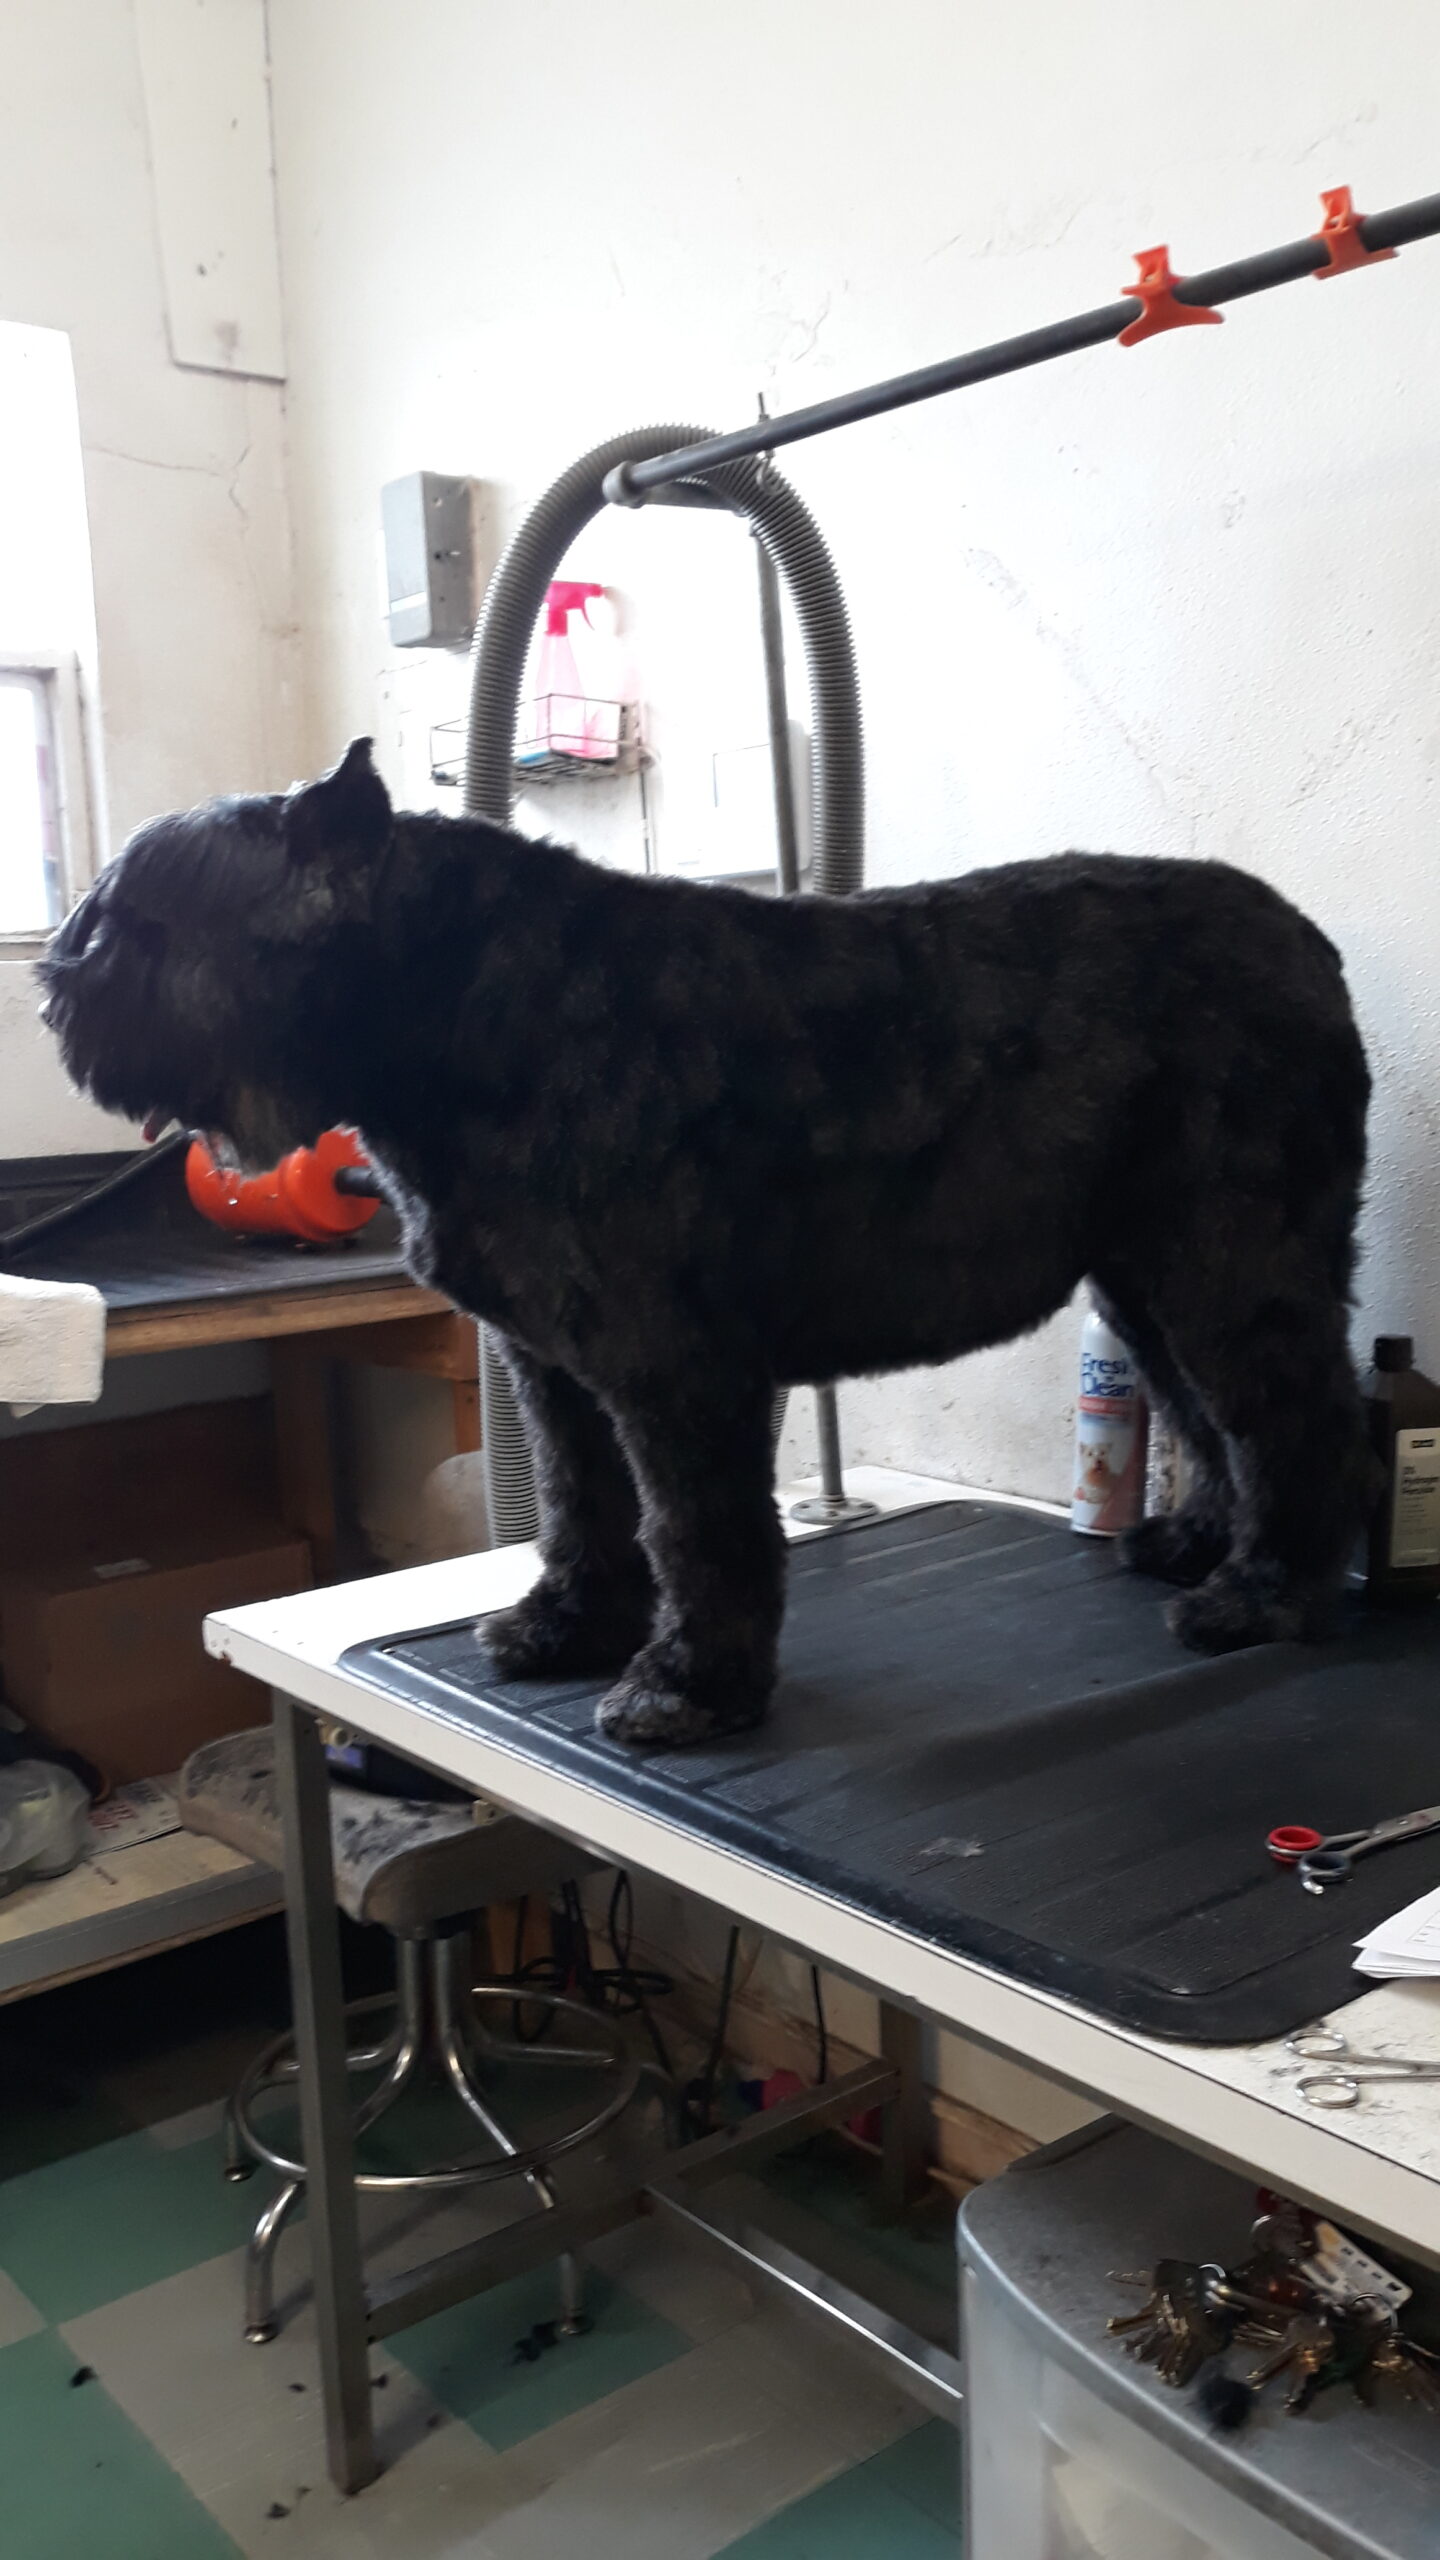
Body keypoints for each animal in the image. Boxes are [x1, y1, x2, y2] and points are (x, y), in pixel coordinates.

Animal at [39, 739, 1375, 1745]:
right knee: (1211, 1415)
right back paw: (1200, 1545)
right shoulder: (552, 1365)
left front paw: (688, 1683)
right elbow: (580, 1501)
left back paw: (1267, 1594)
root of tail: (1311, 947)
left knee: (1298, 1414)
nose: (52, 984)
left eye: (131, 922)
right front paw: (569, 1623)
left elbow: (693, 1529)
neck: (474, 1011)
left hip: (1230, 1260)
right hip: (1153, 1274)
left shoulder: (673, 1370)